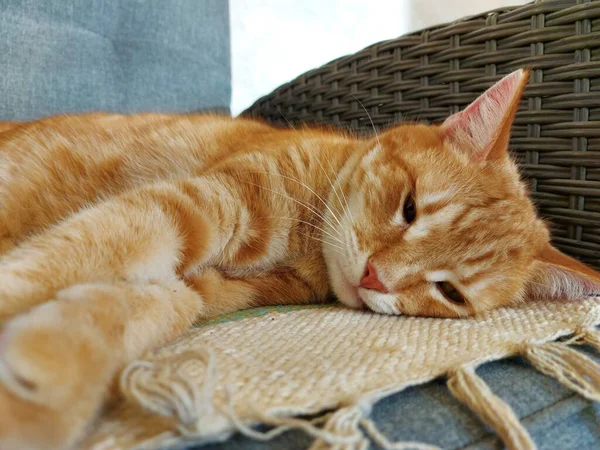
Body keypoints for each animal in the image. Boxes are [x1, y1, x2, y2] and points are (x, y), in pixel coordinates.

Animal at [0, 68, 596, 448]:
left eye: (449, 292)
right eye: (409, 207)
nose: (375, 277)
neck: (305, 249)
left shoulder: (194, 287)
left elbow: (132, 310)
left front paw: (45, 389)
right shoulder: (195, 207)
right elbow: (71, 254)